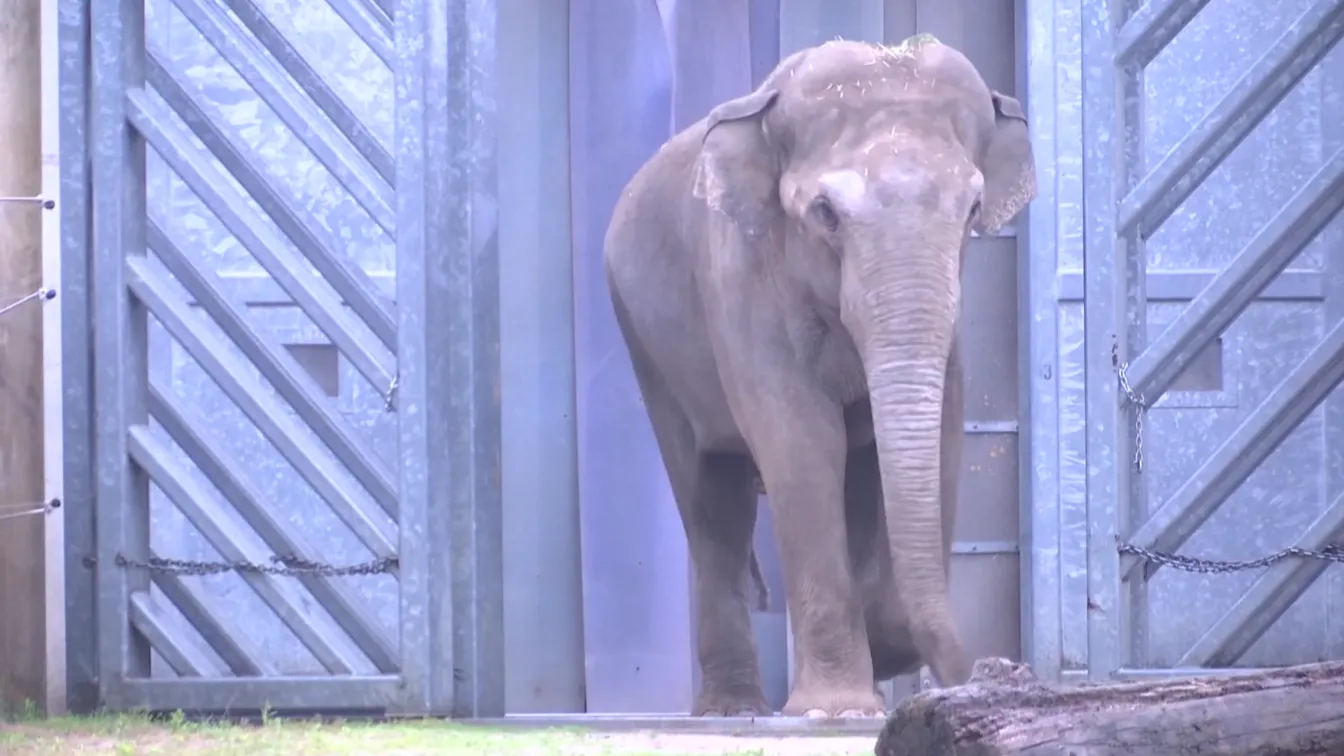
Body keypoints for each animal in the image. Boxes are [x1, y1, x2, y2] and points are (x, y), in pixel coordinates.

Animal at [603, 36, 1037, 718]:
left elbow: (941, 435)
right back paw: (734, 710)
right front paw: (836, 710)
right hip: (645, 341)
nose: (990, 671)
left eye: (973, 210)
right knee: (712, 501)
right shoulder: (740, 275)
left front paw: (877, 660)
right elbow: (804, 442)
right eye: (826, 213)